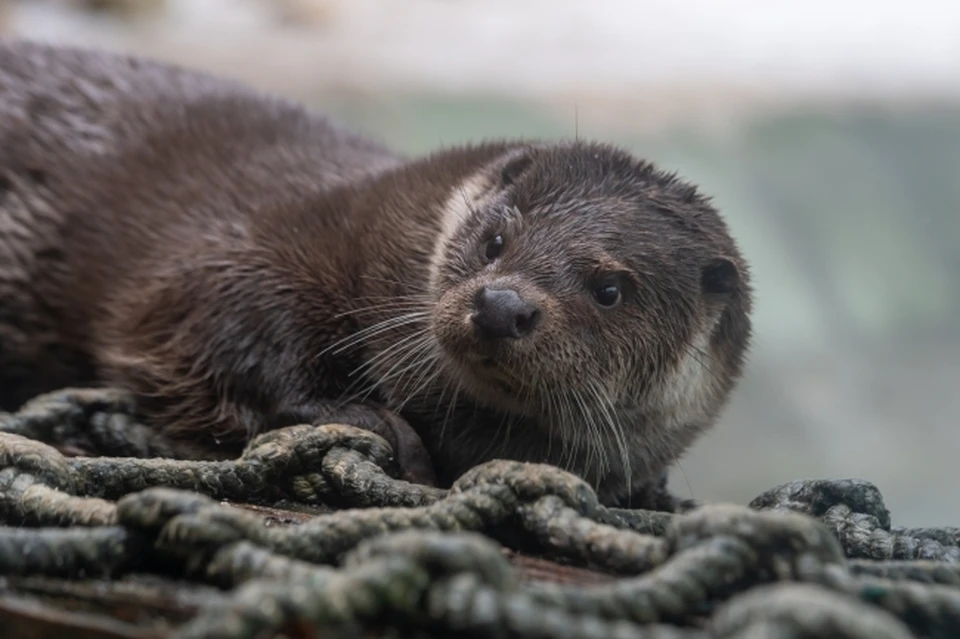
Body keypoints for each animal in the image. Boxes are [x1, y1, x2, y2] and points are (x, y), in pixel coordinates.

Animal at [0, 41, 752, 510]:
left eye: (610, 289)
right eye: (496, 241)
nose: (501, 305)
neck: (376, 237)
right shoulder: (230, 250)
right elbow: (204, 324)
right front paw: (370, 419)